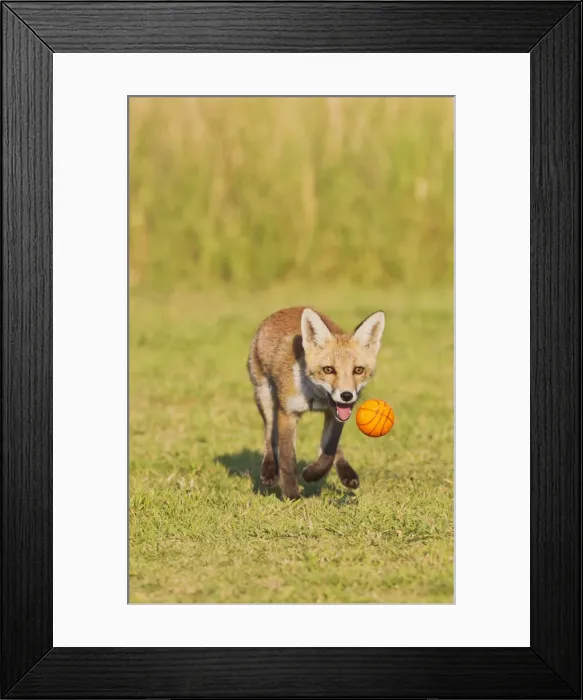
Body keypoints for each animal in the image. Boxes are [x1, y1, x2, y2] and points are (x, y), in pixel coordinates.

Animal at [247, 306, 385, 499]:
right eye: (328, 370)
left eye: (358, 370)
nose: (346, 395)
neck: (315, 395)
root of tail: (288, 309)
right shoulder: (287, 413)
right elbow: (287, 458)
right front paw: (291, 495)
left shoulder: (335, 415)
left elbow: (329, 452)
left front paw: (312, 473)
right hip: (265, 397)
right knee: (269, 436)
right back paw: (269, 471)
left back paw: (346, 473)